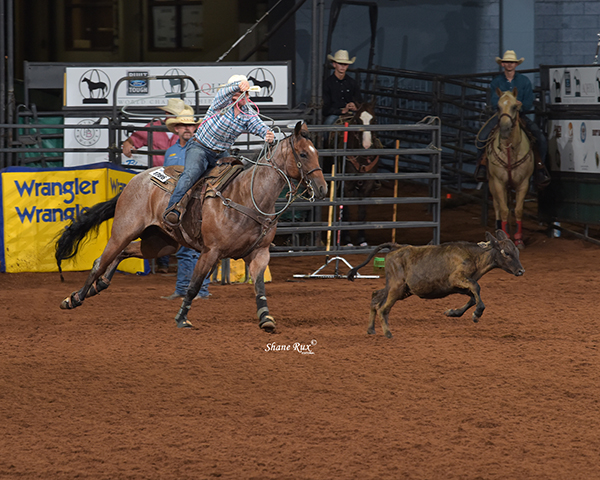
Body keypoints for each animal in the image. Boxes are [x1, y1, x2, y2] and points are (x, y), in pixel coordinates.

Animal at [55, 120, 328, 330]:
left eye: (316, 153)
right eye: (303, 154)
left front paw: (266, 319)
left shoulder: (260, 253)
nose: (323, 188)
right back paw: (75, 298)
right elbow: (194, 286)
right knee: (100, 262)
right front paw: (181, 318)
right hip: (124, 230)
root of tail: (137, 179)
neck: (246, 197)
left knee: (125, 253)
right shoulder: (211, 252)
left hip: (161, 243)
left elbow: (259, 286)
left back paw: (98, 287)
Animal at [346, 232, 524, 338]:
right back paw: (388, 333)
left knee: (376, 296)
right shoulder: (456, 278)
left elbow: (473, 297)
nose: (521, 271)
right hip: (397, 287)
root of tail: (396, 247)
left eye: (517, 251)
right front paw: (477, 313)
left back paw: (371, 329)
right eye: (506, 253)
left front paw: (453, 312)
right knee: (384, 307)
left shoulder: (459, 287)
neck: (474, 257)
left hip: (400, 288)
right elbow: (476, 288)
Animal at [486, 87, 532, 249]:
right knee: (497, 206)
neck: (510, 150)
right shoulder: (498, 182)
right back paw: (499, 228)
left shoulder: (524, 183)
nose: (505, 129)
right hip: (492, 183)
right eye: (498, 107)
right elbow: (504, 210)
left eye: (514, 107)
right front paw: (505, 237)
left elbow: (518, 210)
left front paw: (518, 240)